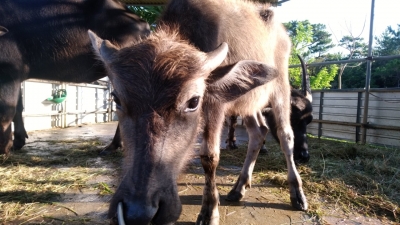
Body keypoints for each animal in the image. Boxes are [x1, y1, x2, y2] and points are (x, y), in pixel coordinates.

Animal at [0, 0, 150, 155]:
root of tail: (142, 23)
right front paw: (17, 142)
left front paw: (4, 148)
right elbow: (18, 107)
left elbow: (6, 109)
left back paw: (113, 146)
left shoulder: (9, 70)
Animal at [89, 0, 308, 224]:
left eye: (193, 101)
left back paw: (297, 194)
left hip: (280, 88)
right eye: (117, 99)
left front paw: (210, 211)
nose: (138, 213)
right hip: (249, 103)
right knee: (258, 132)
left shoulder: (216, 105)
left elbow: (209, 156)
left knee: (285, 135)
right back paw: (239, 188)